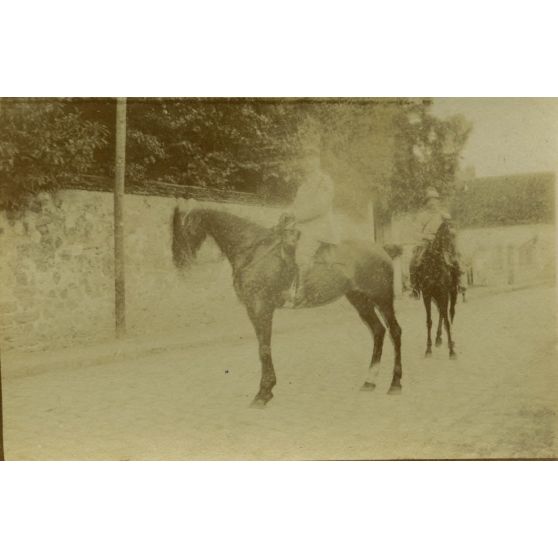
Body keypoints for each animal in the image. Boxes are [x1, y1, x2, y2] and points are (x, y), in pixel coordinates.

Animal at [173, 206, 404, 406]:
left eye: (186, 229)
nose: (180, 262)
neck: (254, 251)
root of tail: (381, 249)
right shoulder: (253, 310)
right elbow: (262, 347)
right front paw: (267, 389)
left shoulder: (261, 307)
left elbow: (264, 348)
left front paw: (263, 392)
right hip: (359, 299)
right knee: (378, 330)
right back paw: (370, 381)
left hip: (382, 298)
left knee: (394, 331)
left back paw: (395, 384)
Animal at [418, 221, 462, 360]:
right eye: (448, 236)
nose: (455, 260)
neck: (434, 266)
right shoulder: (427, 295)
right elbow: (429, 321)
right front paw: (428, 349)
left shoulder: (444, 293)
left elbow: (447, 320)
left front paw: (452, 351)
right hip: (436, 297)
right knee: (441, 313)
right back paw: (438, 338)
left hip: (451, 294)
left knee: (449, 313)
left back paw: (449, 341)